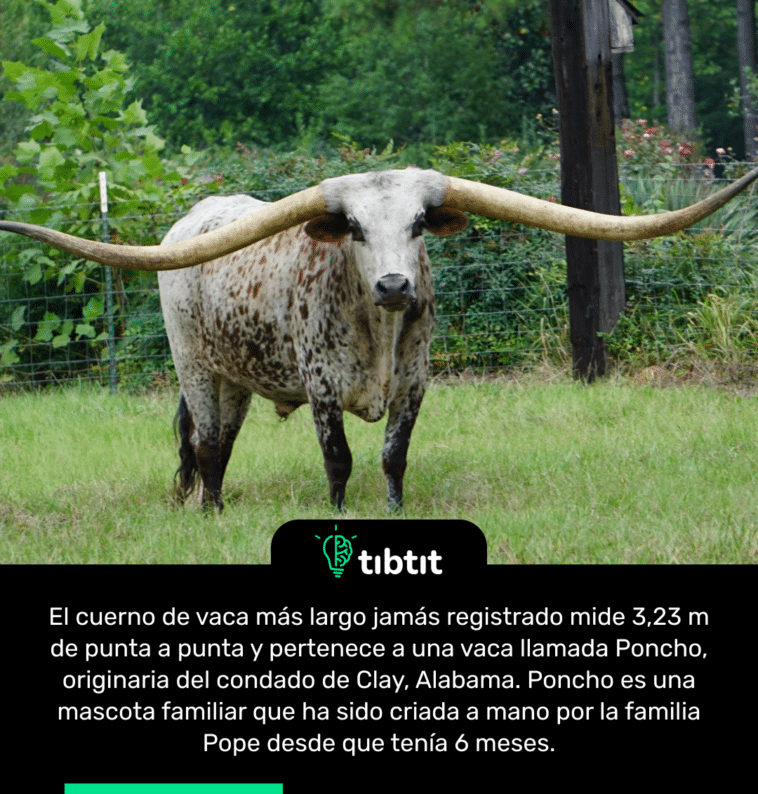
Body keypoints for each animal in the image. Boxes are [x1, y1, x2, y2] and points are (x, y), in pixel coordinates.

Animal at [2, 165, 758, 511]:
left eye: (420, 222)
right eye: (356, 229)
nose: (396, 285)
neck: (380, 329)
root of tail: (192, 222)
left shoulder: (416, 385)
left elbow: (394, 457)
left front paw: (395, 511)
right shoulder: (321, 388)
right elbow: (338, 461)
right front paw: (339, 513)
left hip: (239, 376)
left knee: (221, 443)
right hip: (194, 365)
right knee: (207, 442)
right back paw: (210, 513)